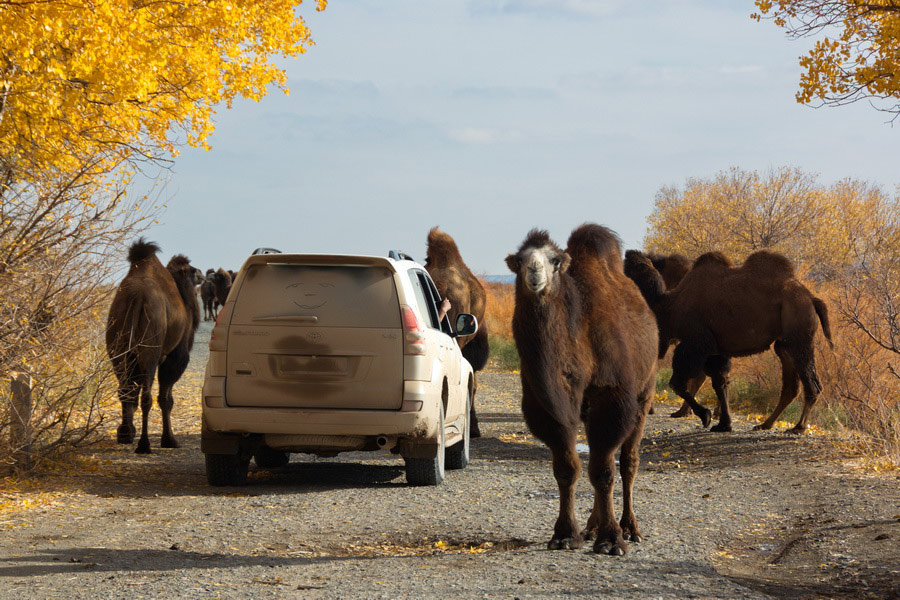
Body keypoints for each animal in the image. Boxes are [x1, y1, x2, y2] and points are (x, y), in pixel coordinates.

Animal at [105, 241, 200, 452]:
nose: (201, 273)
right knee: (146, 397)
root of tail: (136, 297)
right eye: (192, 271)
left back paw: (125, 434)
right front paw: (169, 440)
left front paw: (127, 432)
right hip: (150, 350)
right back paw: (144, 444)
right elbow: (166, 399)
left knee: (126, 390)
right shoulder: (176, 355)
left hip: (118, 349)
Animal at [624, 246, 828, 434]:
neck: (670, 305)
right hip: (784, 344)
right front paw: (723, 424)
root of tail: (811, 298)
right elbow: (719, 384)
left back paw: (798, 427)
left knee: (812, 384)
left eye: (628, 272)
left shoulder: (696, 342)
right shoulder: (714, 349)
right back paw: (765, 424)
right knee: (791, 385)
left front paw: (706, 416)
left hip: (798, 335)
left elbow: (678, 382)